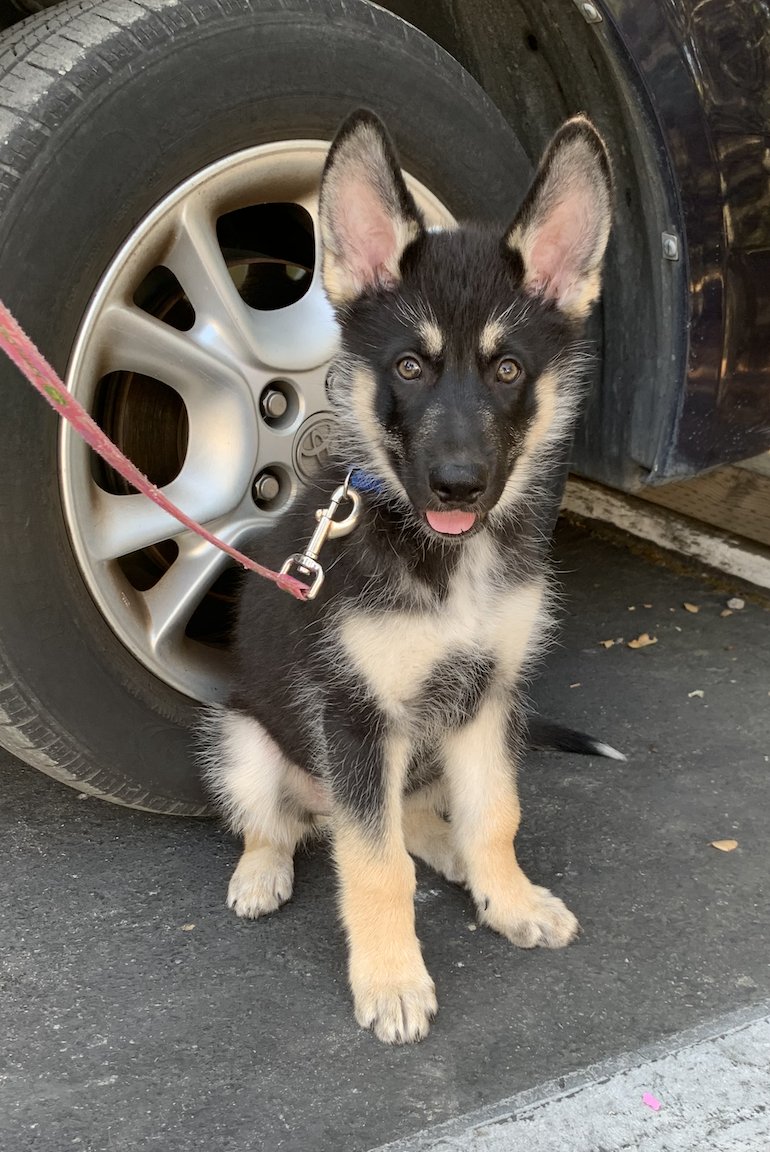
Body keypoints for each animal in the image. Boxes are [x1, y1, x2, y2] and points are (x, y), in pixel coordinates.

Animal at [204, 110, 613, 1046]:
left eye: (508, 370)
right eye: (409, 367)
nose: (458, 487)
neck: (442, 558)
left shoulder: (489, 696)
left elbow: (497, 814)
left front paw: (508, 899)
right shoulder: (356, 720)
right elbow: (375, 863)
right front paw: (391, 979)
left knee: (421, 815)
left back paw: (454, 855)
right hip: (244, 739)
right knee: (280, 822)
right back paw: (262, 870)